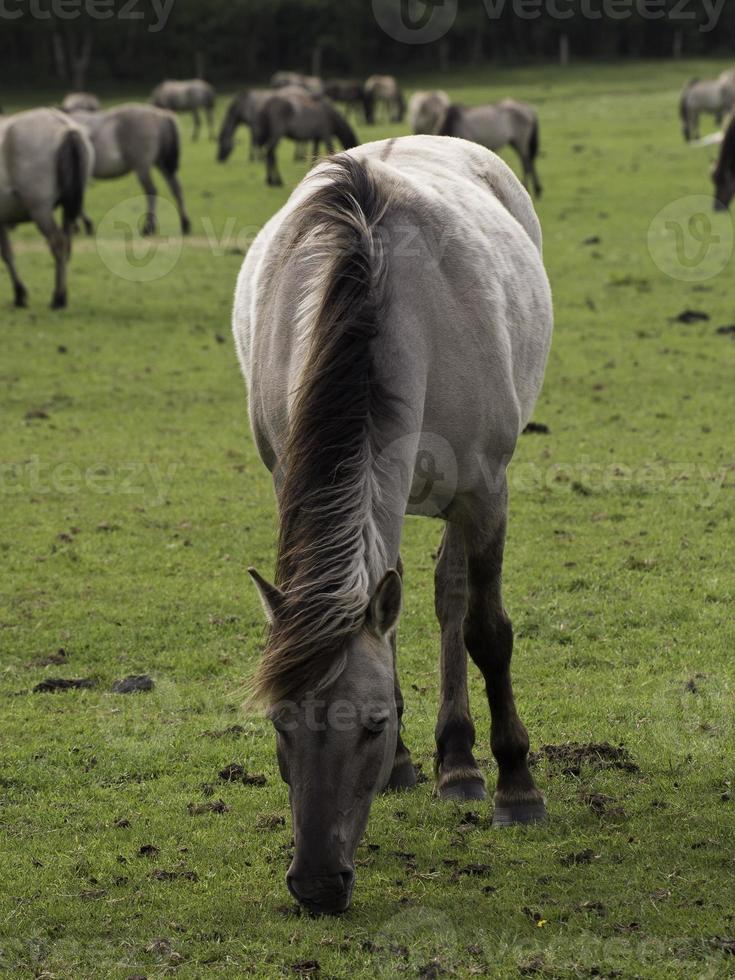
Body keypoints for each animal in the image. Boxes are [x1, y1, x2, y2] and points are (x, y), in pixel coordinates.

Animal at [0, 107, 92, 308]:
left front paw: (20, 293)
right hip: (66, 210)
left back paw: (59, 298)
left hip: (40, 211)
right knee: (66, 244)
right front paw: (19, 293)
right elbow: (8, 254)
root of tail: (65, 128)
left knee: (58, 244)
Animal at [70, 104, 191, 235]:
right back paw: (185, 223)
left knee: (152, 191)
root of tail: (160, 116)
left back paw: (148, 227)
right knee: (176, 189)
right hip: (162, 164)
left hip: (142, 168)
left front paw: (82, 225)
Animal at [234, 134, 552, 916]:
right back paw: (429, 761)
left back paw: (462, 763)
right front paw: (411, 759)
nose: (318, 883)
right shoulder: (292, 479)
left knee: (453, 600)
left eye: (371, 724)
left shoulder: (484, 491)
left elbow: (486, 632)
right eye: (280, 723)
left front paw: (516, 786)